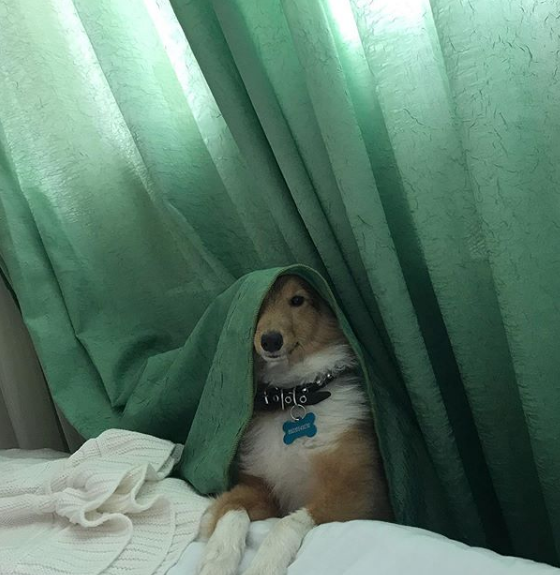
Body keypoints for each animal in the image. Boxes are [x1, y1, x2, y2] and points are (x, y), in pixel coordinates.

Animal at [199, 276, 392, 575]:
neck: (292, 397)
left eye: (298, 300)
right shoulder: (259, 486)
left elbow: (289, 521)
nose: (270, 340)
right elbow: (232, 506)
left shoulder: (359, 492)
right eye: (259, 302)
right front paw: (217, 559)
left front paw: (264, 564)